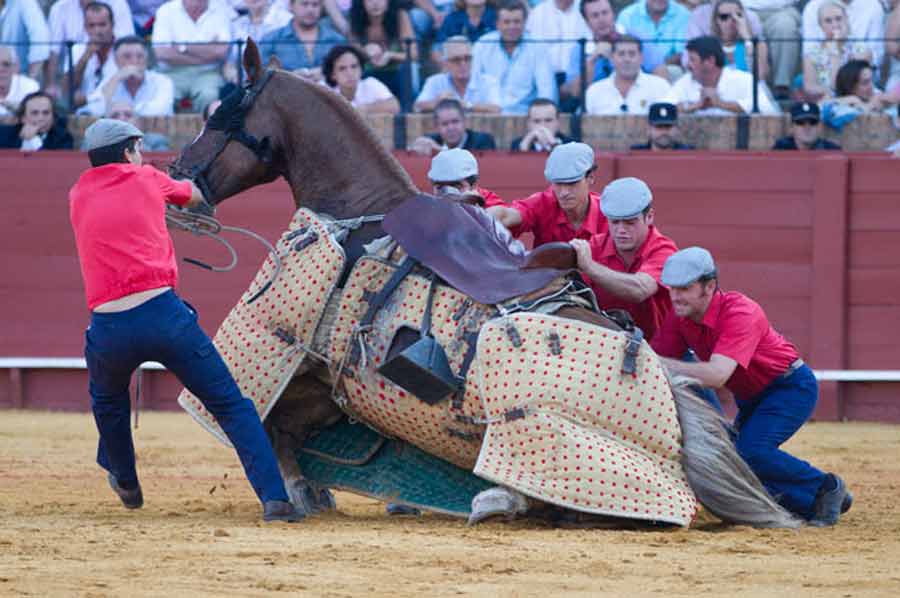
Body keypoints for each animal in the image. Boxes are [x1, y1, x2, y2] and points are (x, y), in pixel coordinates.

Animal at [172, 38, 800, 528]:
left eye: (218, 112)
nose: (179, 179)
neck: (363, 212)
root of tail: (674, 418)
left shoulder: (310, 366)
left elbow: (271, 423)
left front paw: (295, 493)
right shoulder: (337, 387)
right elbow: (286, 426)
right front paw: (311, 490)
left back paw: (493, 500)